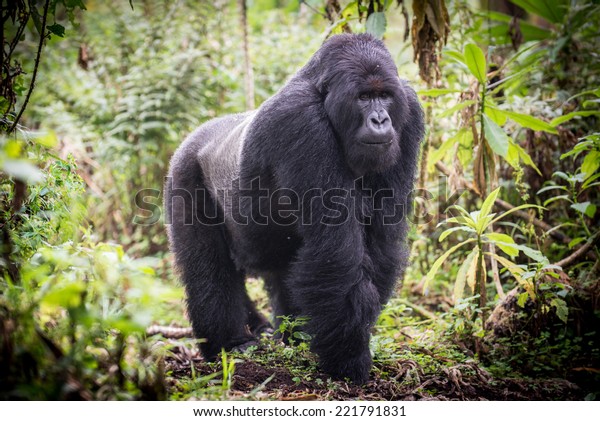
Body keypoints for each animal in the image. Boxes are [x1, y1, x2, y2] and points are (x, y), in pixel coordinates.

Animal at [166, 34, 424, 384]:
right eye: (363, 97)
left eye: (383, 96)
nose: (380, 120)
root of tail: (195, 135)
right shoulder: (301, 122)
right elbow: (336, 253)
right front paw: (349, 358)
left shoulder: (408, 114)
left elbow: (382, 241)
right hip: (183, 170)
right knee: (208, 268)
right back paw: (230, 343)